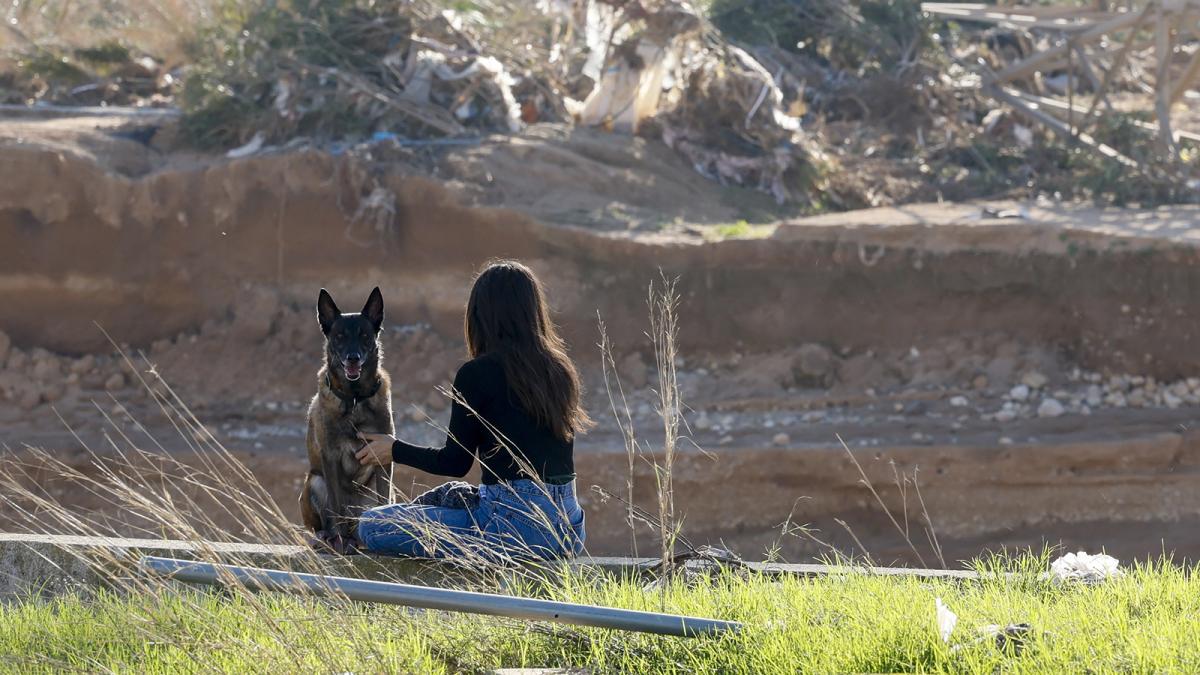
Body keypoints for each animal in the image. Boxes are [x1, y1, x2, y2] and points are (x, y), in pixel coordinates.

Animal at [300, 283, 393, 552]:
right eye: (339, 336)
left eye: (364, 336)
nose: (353, 357)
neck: (354, 398)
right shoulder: (330, 458)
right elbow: (336, 506)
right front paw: (339, 541)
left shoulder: (383, 458)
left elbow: (384, 500)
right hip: (314, 481)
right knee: (323, 522)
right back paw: (328, 538)